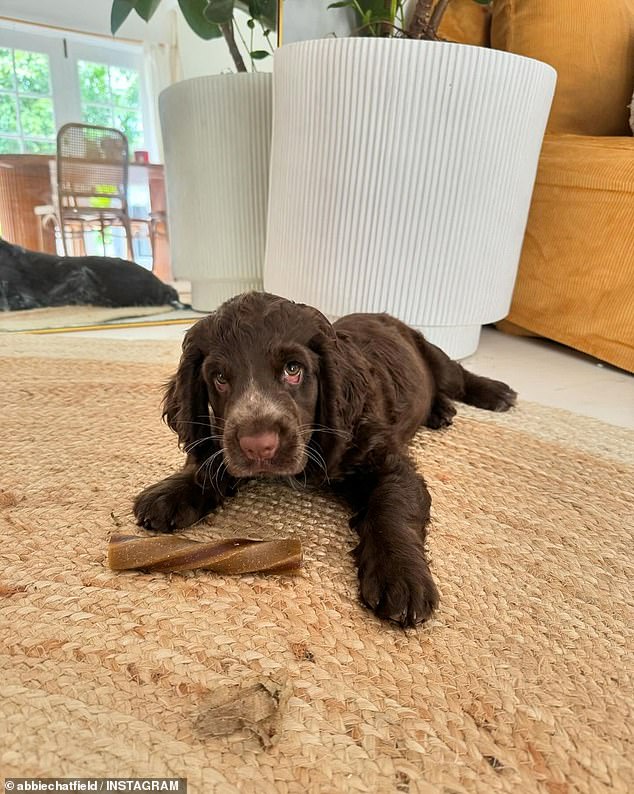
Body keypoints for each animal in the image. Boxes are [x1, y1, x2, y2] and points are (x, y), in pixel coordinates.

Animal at [133, 290, 512, 624]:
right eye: (220, 378)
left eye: (293, 369)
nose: (259, 446)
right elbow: (211, 457)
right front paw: (170, 493)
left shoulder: (385, 459)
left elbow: (393, 505)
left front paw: (402, 576)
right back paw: (441, 411)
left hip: (433, 356)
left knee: (456, 376)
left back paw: (494, 393)